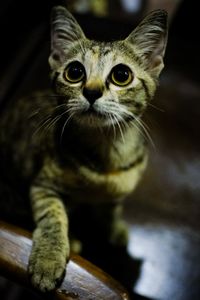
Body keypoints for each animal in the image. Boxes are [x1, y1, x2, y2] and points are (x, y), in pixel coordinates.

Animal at [0, 5, 168, 292]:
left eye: (121, 75)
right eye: (75, 72)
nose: (91, 92)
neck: (107, 153)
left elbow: (112, 208)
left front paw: (115, 228)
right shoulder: (42, 184)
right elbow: (52, 216)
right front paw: (48, 258)